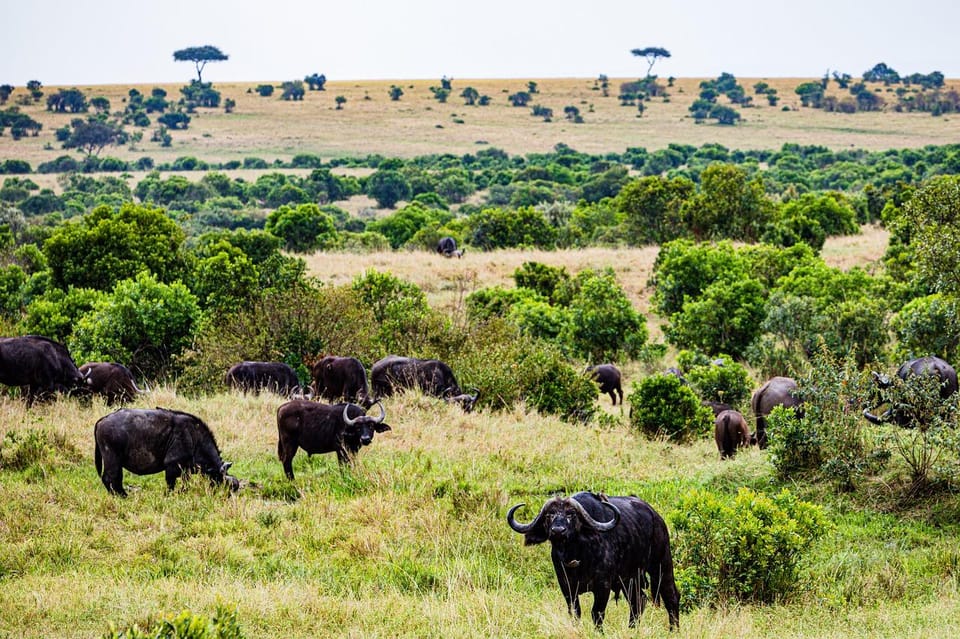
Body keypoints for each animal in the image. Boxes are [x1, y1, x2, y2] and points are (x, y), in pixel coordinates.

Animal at [92, 408, 238, 498]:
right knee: (109, 478)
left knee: (116, 479)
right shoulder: (171, 466)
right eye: (227, 485)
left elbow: (185, 484)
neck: (194, 437)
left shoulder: (185, 470)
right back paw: (122, 496)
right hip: (112, 459)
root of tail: (102, 420)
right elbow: (170, 485)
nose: (227, 497)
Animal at [506, 492, 680, 632]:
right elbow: (575, 612)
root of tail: (657, 518)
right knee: (638, 600)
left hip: (661, 564)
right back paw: (632, 628)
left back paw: (674, 630)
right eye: (549, 515)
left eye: (571, 515)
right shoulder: (566, 586)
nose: (558, 531)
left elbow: (597, 613)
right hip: (630, 578)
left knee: (671, 596)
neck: (577, 557)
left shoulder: (603, 585)